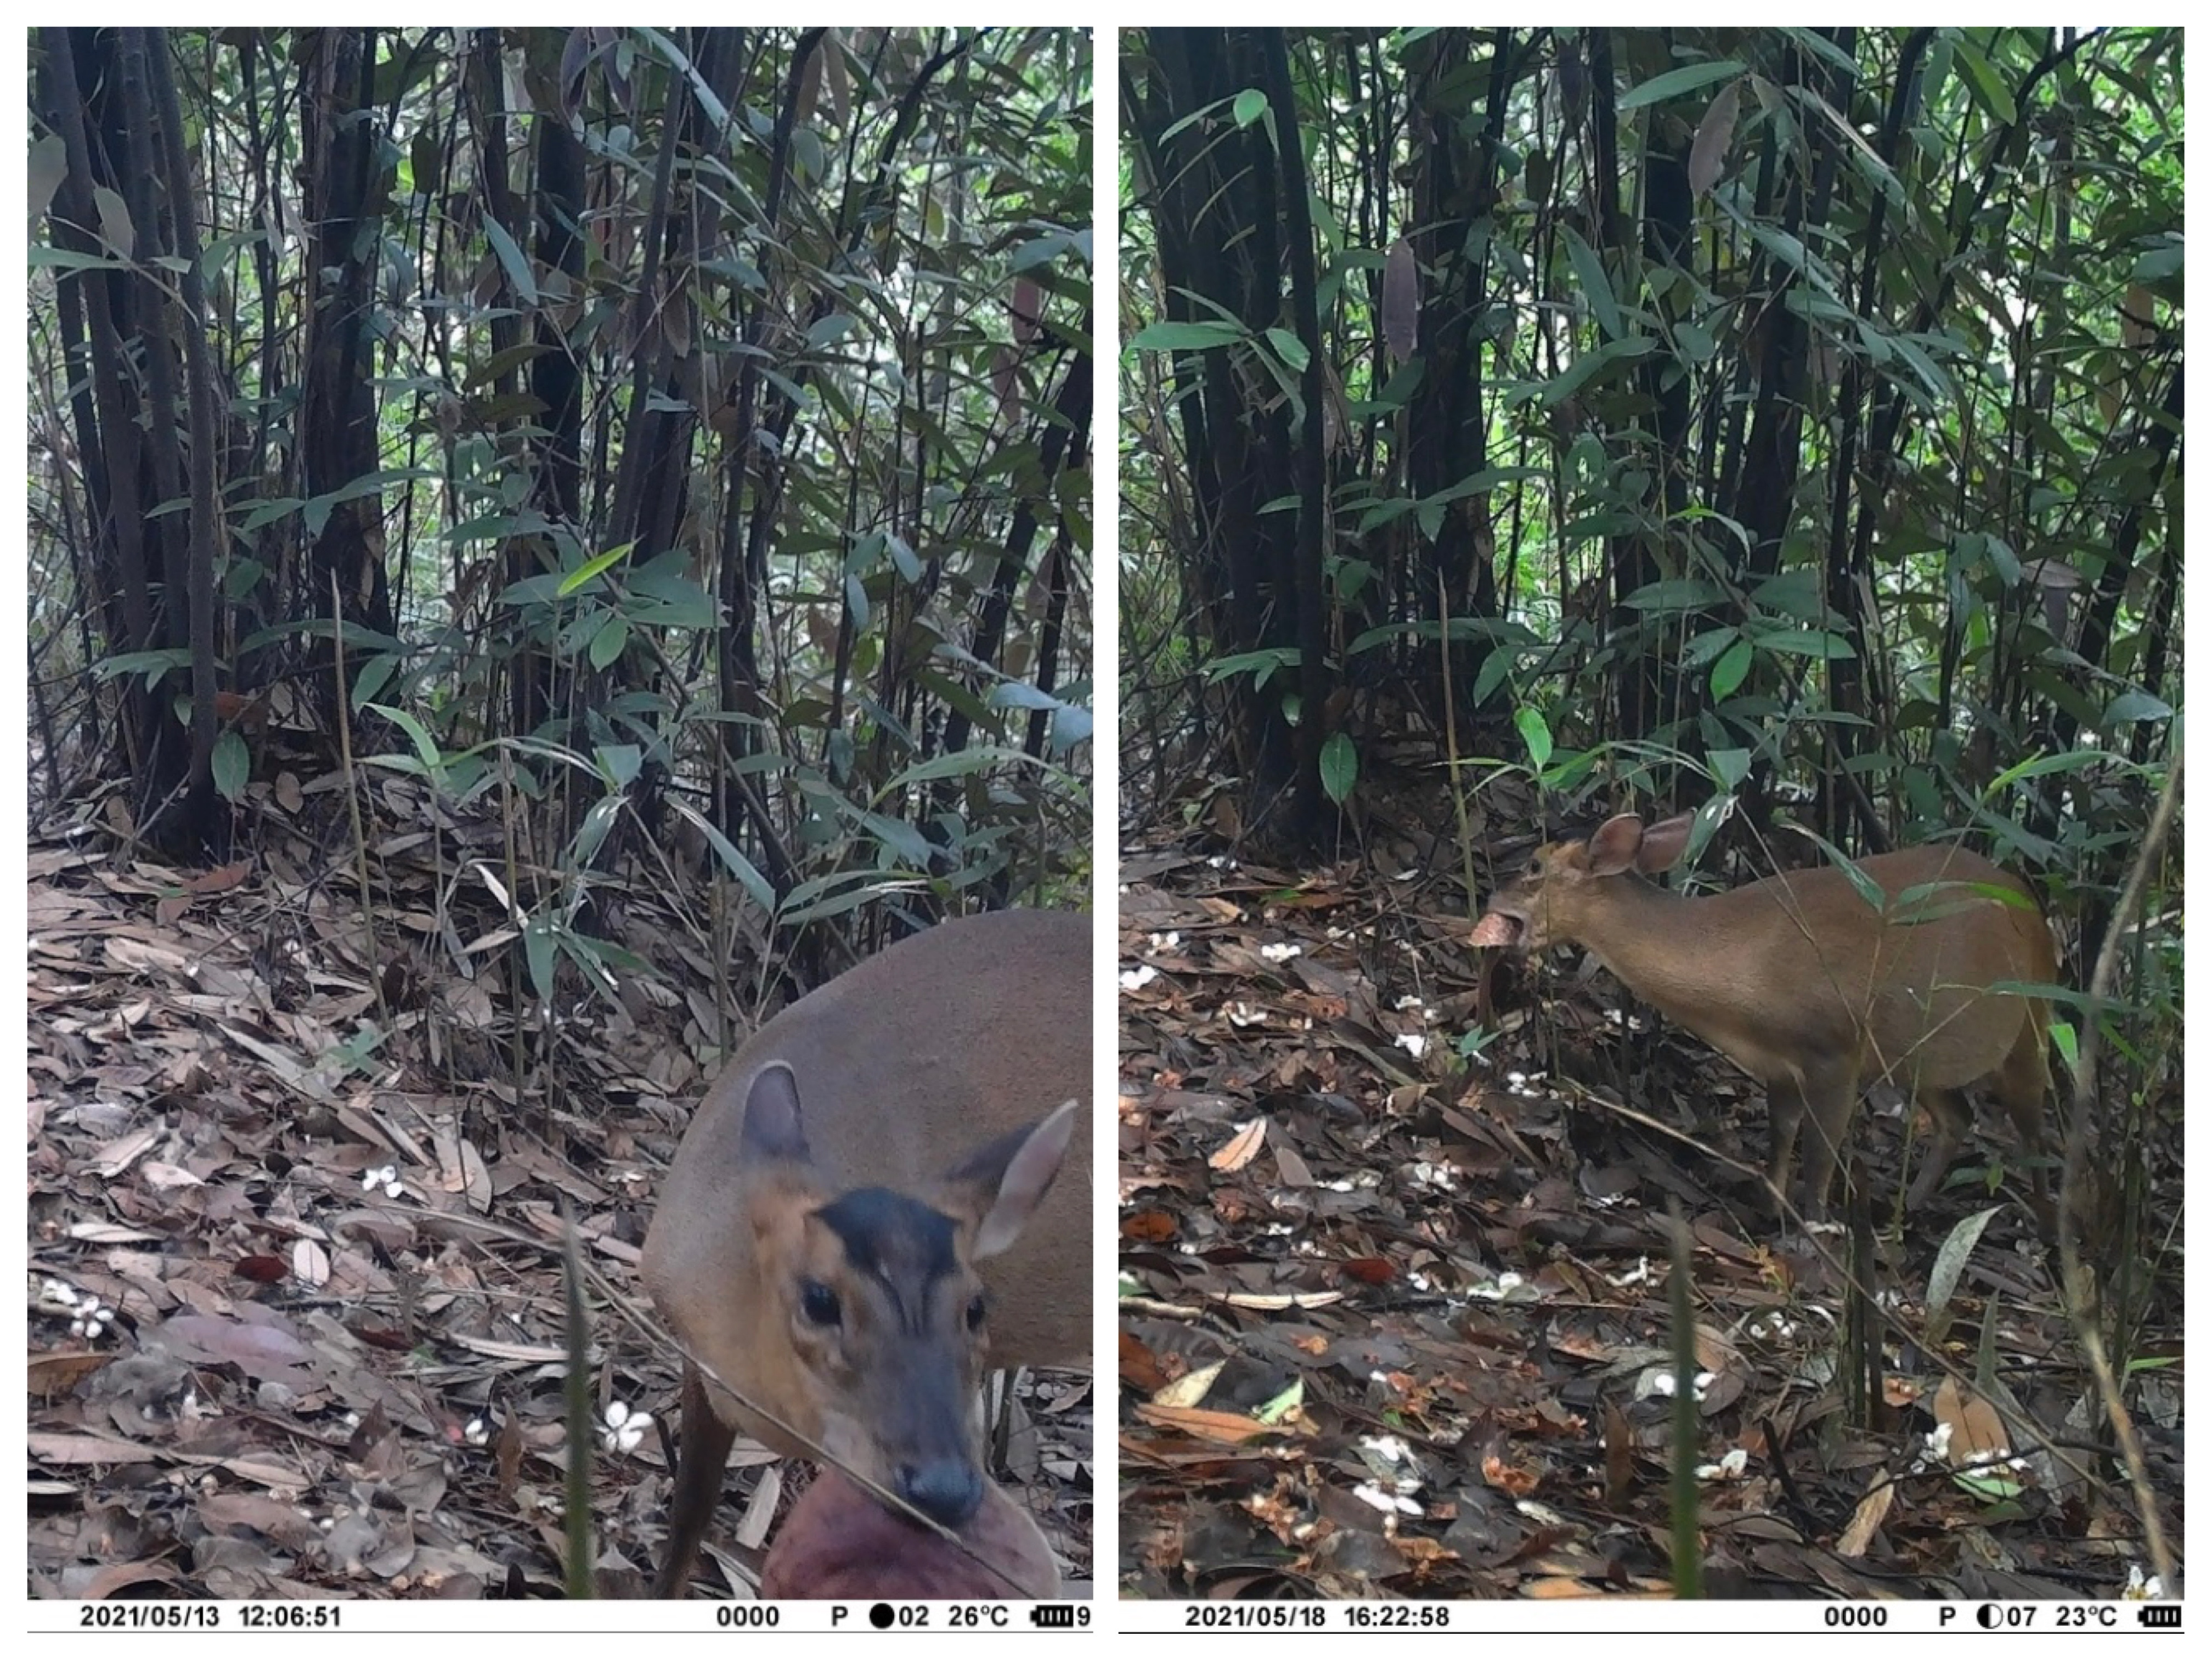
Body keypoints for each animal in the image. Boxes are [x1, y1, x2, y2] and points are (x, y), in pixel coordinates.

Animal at [1469, 814, 2052, 1221]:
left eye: (1534, 867)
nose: (1490, 894)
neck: (1747, 971)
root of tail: (2036, 911)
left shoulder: (1836, 1050)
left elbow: (1820, 1152)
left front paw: (1815, 1225)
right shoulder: (1779, 1061)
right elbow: (1781, 1133)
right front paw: (1773, 1208)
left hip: (2032, 1021)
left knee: (2035, 1134)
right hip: (1921, 1057)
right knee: (1959, 1117)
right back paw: (1907, 1207)